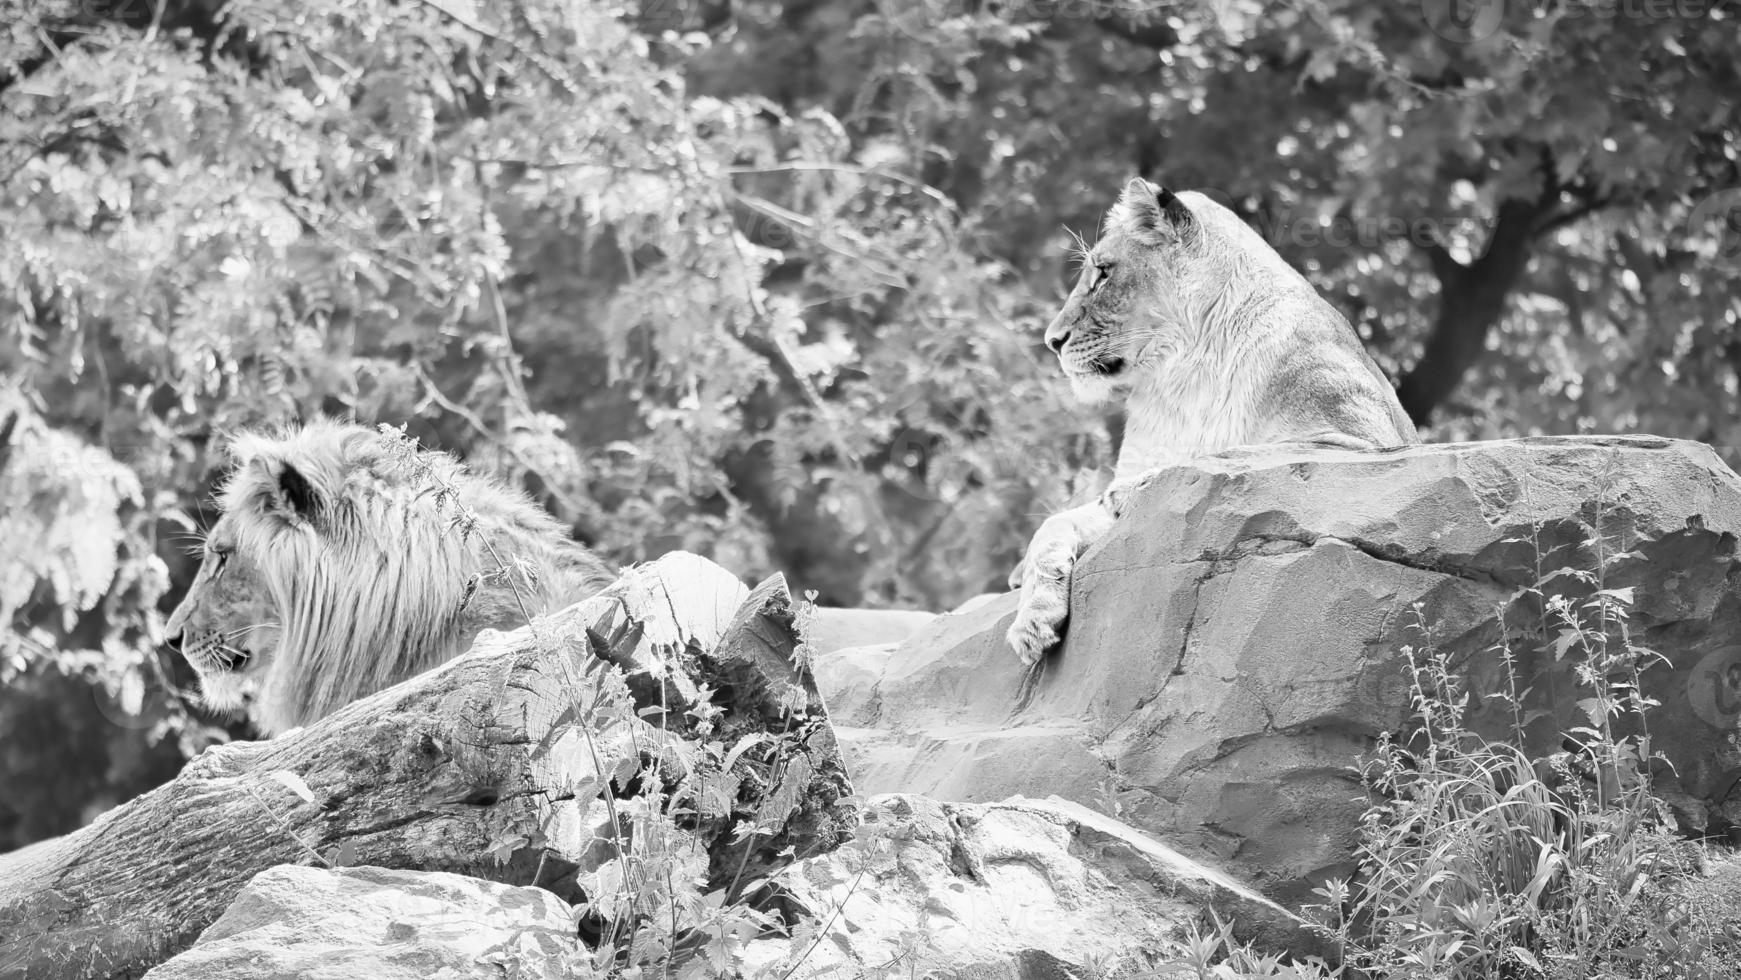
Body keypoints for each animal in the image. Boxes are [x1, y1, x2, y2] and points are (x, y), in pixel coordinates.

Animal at [1016, 179, 1420, 664]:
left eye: (1103, 273)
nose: (1051, 341)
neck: (1183, 378)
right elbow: (1052, 525)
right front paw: (1031, 618)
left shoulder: (1364, 439)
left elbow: (1227, 456)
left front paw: (1131, 490)